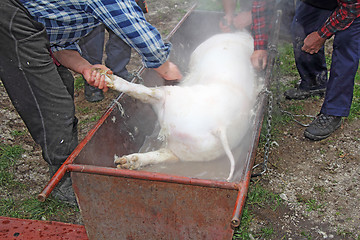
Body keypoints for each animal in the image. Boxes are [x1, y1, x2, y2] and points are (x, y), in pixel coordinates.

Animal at [102, 32, 258, 182]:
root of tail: (220, 127)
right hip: (191, 149)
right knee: (167, 155)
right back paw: (127, 162)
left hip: (171, 98)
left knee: (146, 92)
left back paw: (109, 78)